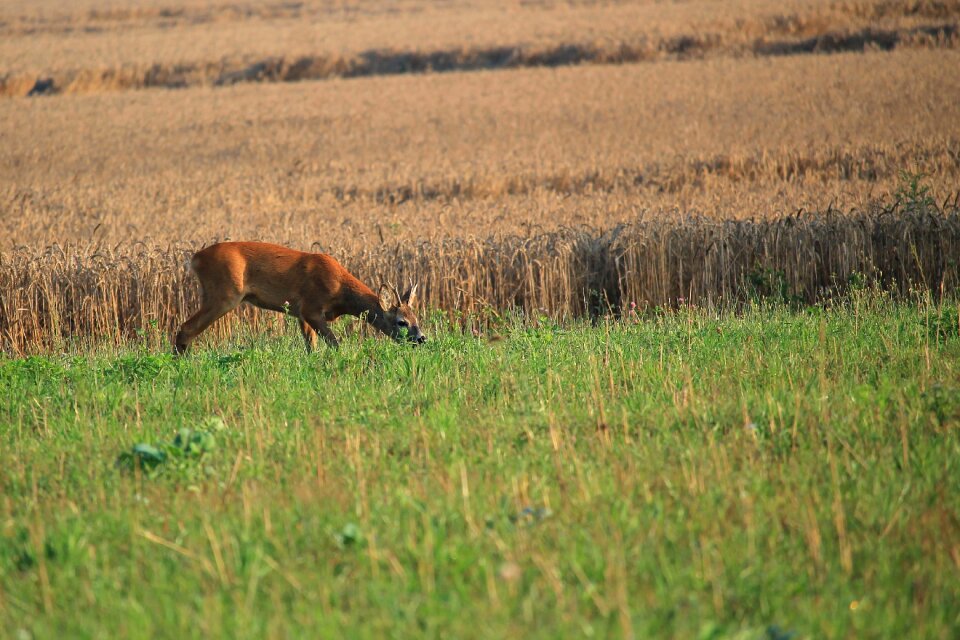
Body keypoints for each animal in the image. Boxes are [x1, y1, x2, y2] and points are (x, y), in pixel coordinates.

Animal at [173, 241, 428, 356]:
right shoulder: (311, 307)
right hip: (225, 293)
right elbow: (334, 343)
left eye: (417, 319)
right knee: (186, 328)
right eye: (401, 322)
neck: (341, 292)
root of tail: (195, 259)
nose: (422, 339)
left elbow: (310, 347)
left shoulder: (300, 313)